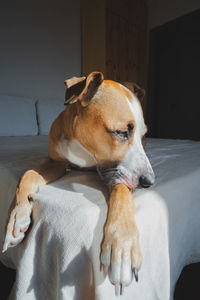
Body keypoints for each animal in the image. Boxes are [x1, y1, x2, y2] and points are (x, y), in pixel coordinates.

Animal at [2, 72, 155, 296]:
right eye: (120, 133)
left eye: (142, 134)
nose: (149, 181)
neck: (84, 150)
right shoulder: (55, 162)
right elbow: (28, 174)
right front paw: (17, 216)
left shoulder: (115, 174)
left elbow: (121, 191)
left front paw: (122, 246)